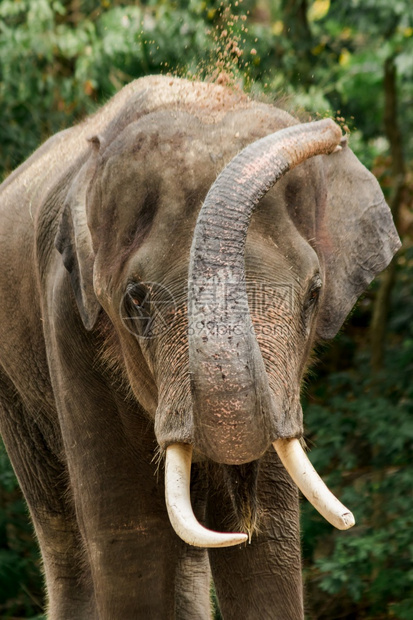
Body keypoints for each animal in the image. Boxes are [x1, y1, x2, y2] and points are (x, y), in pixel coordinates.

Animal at [0, 75, 400, 616]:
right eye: (137, 299)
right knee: (64, 529)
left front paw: (246, 530)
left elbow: (268, 547)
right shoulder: (66, 316)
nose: (333, 130)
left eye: (315, 293)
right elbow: (129, 532)